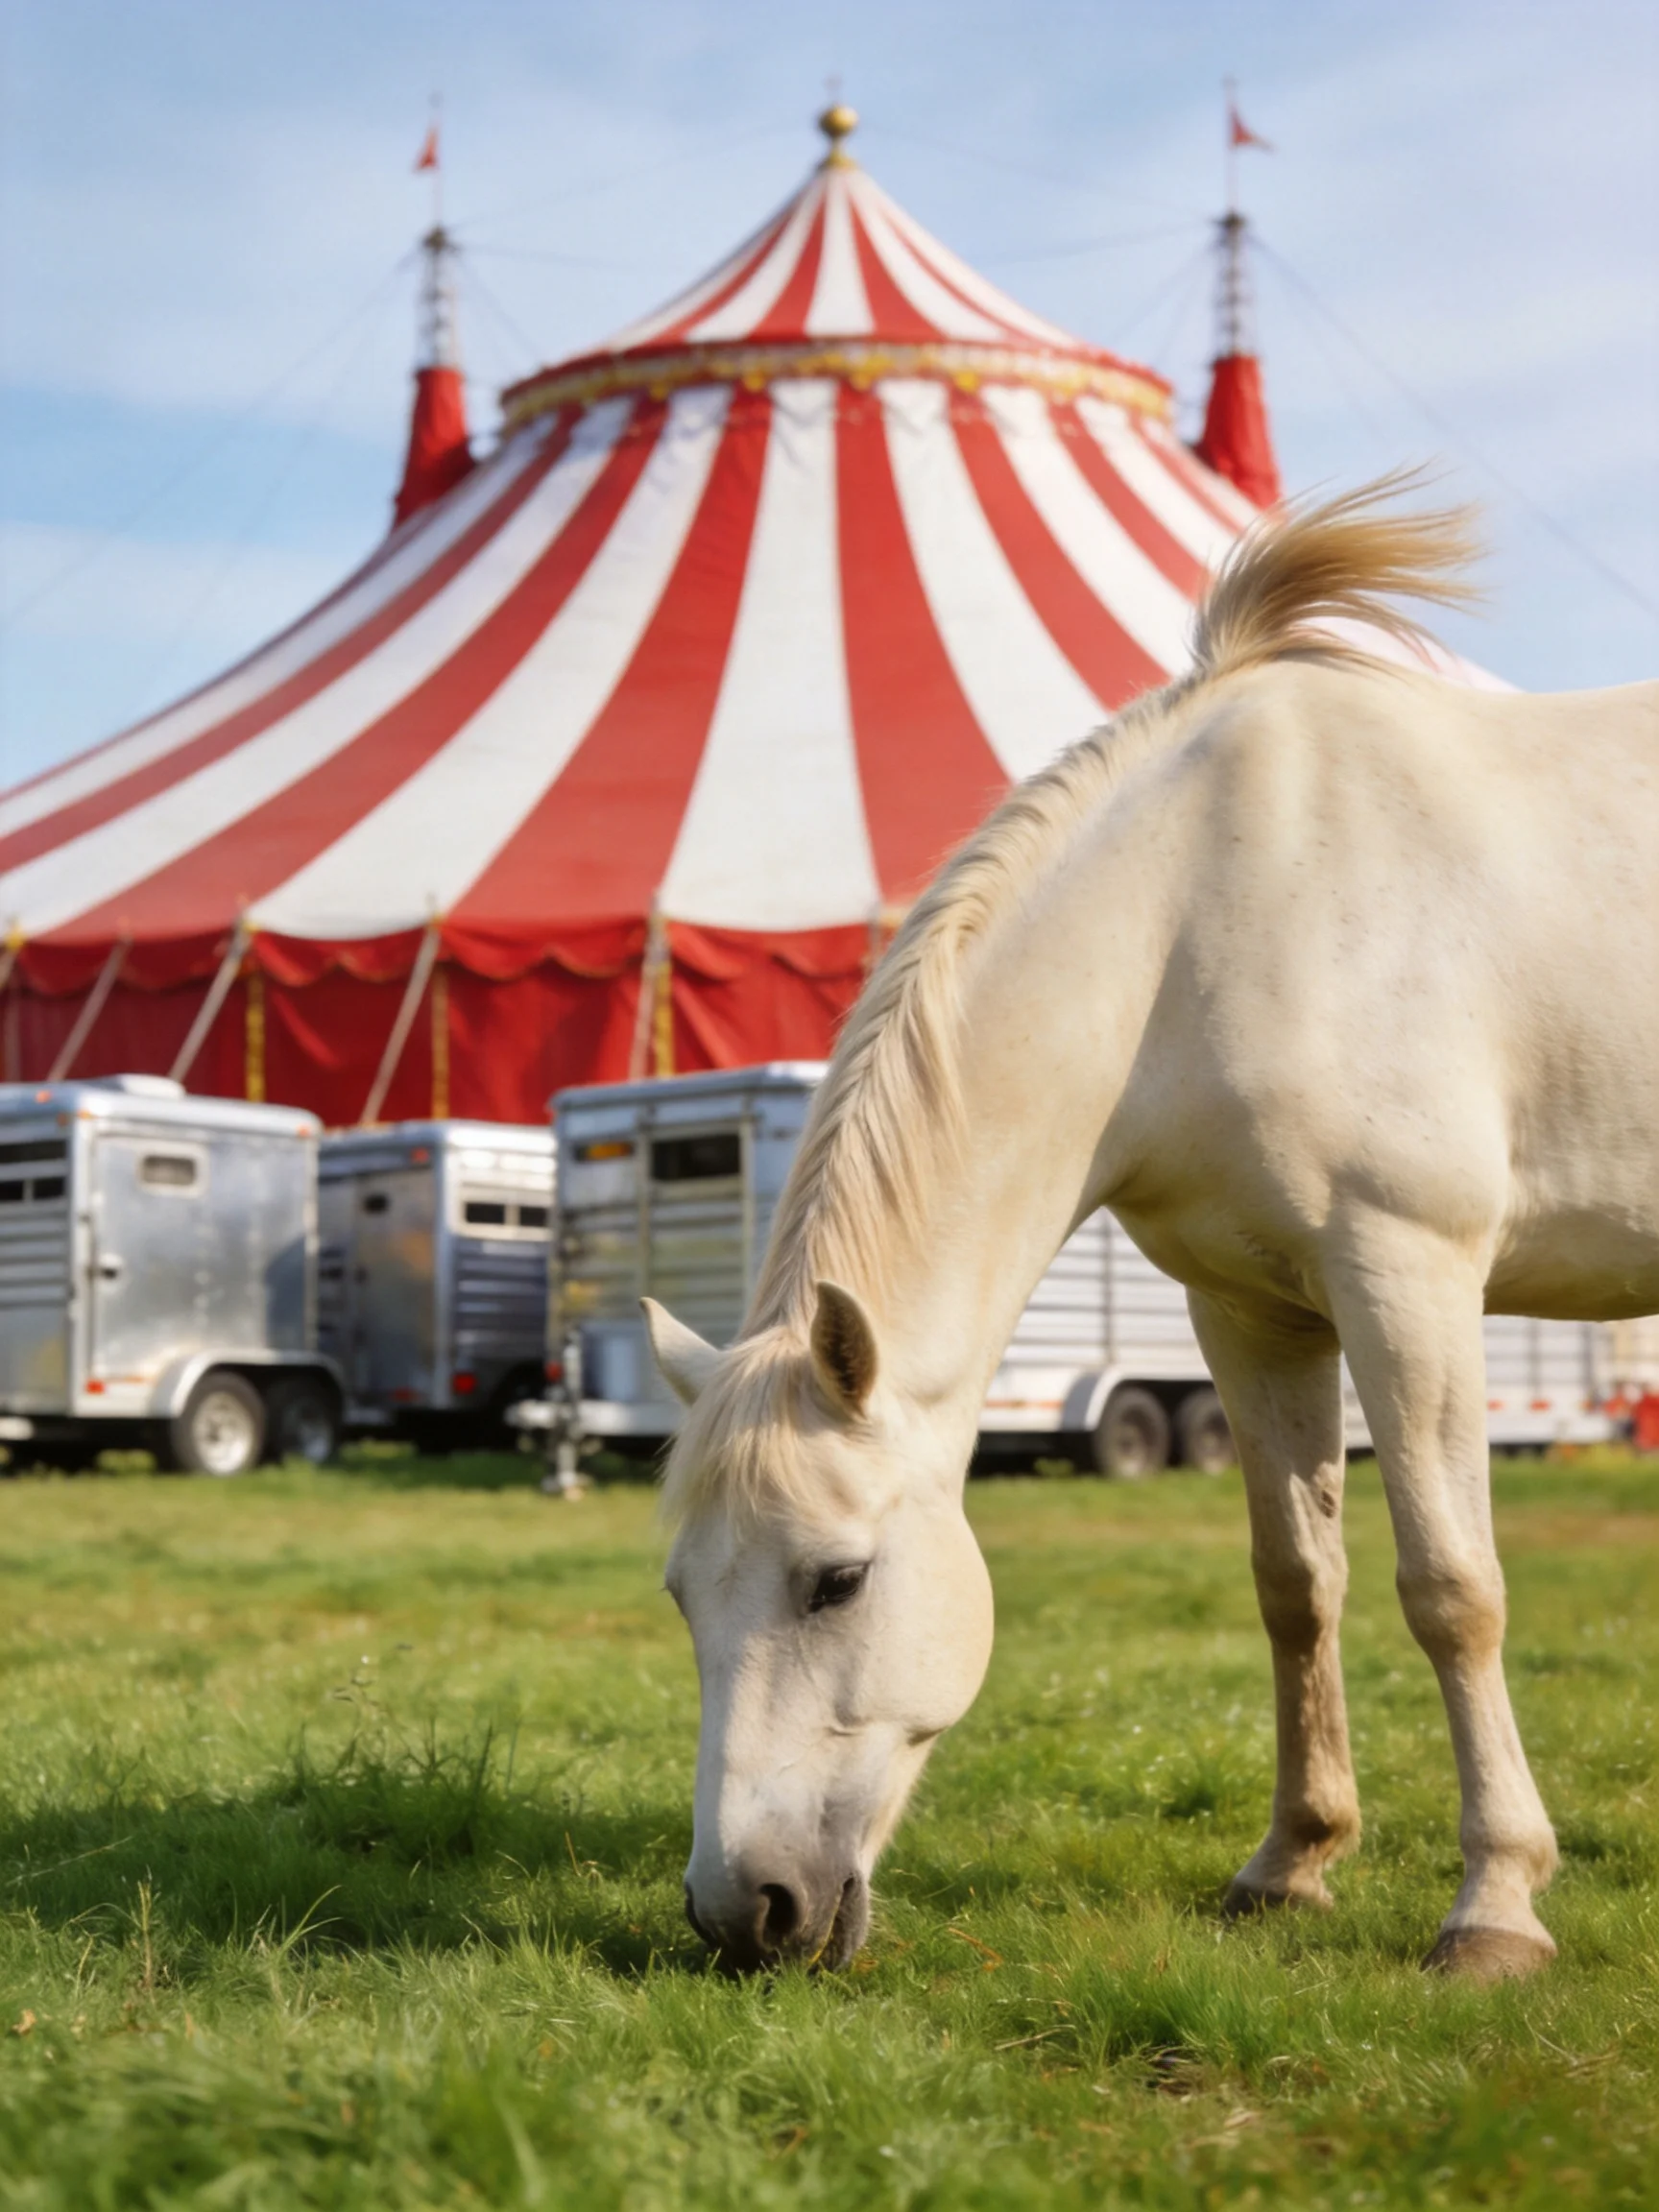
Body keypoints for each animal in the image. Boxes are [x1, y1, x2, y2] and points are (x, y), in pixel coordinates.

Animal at [643, 478, 1659, 1982]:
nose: (743, 1914)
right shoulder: (1252, 1313)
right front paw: (1292, 1864)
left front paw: (1496, 1905)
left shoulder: (1407, 1277)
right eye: (678, 1594)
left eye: (837, 1582)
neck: (1210, 914)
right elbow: (1297, 1582)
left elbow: (1451, 1586)